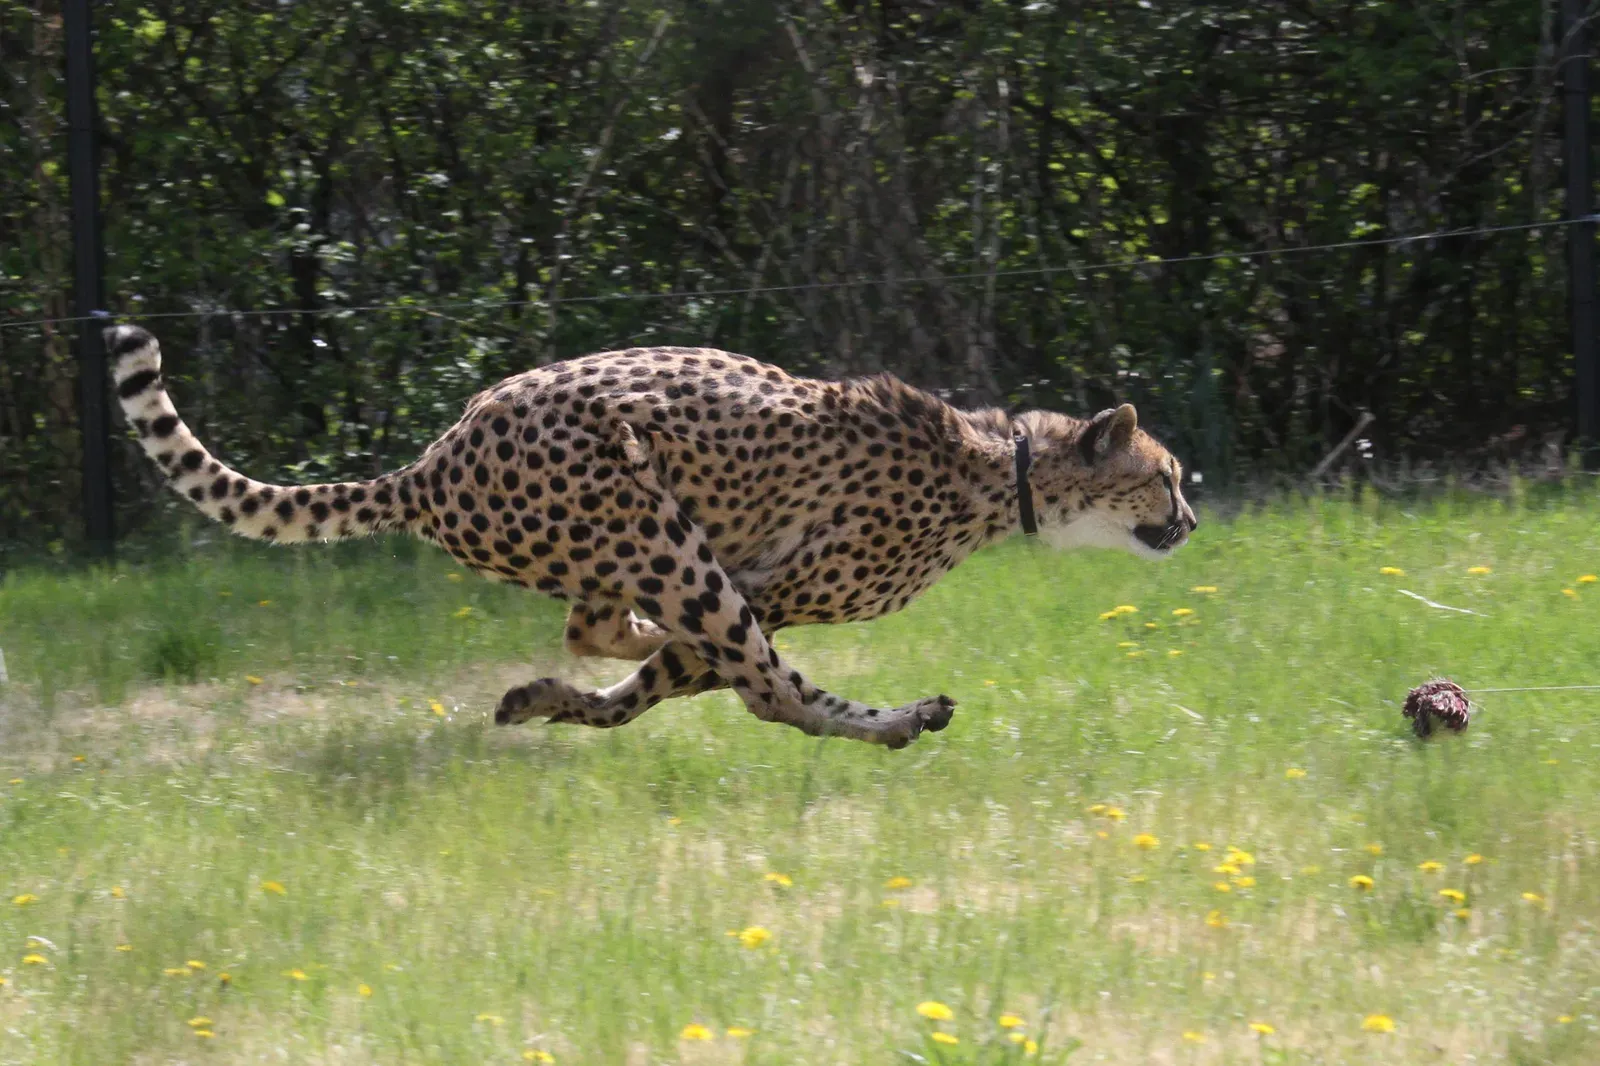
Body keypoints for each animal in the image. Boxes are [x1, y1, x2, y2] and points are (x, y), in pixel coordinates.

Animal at [106, 324, 1197, 748]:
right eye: (1167, 476)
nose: (1191, 519)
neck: (1003, 466)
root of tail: (430, 461)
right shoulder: (773, 591)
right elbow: (721, 678)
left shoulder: (748, 595)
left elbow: (654, 681)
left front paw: (555, 697)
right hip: (654, 524)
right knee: (769, 692)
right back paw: (899, 720)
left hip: (638, 546)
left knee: (598, 628)